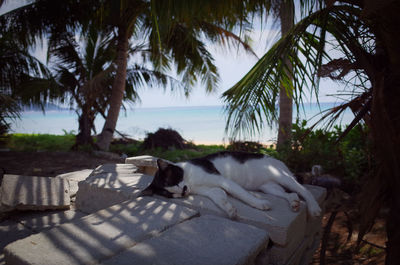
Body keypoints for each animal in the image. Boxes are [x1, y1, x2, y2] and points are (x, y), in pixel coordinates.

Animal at [141, 151, 322, 217]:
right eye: (169, 194)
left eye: (172, 180)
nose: (183, 191)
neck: (190, 179)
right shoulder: (211, 190)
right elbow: (219, 198)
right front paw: (229, 209)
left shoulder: (223, 180)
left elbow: (243, 194)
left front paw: (259, 204)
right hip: (269, 187)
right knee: (290, 193)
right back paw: (294, 202)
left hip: (282, 177)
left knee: (304, 190)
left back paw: (314, 208)